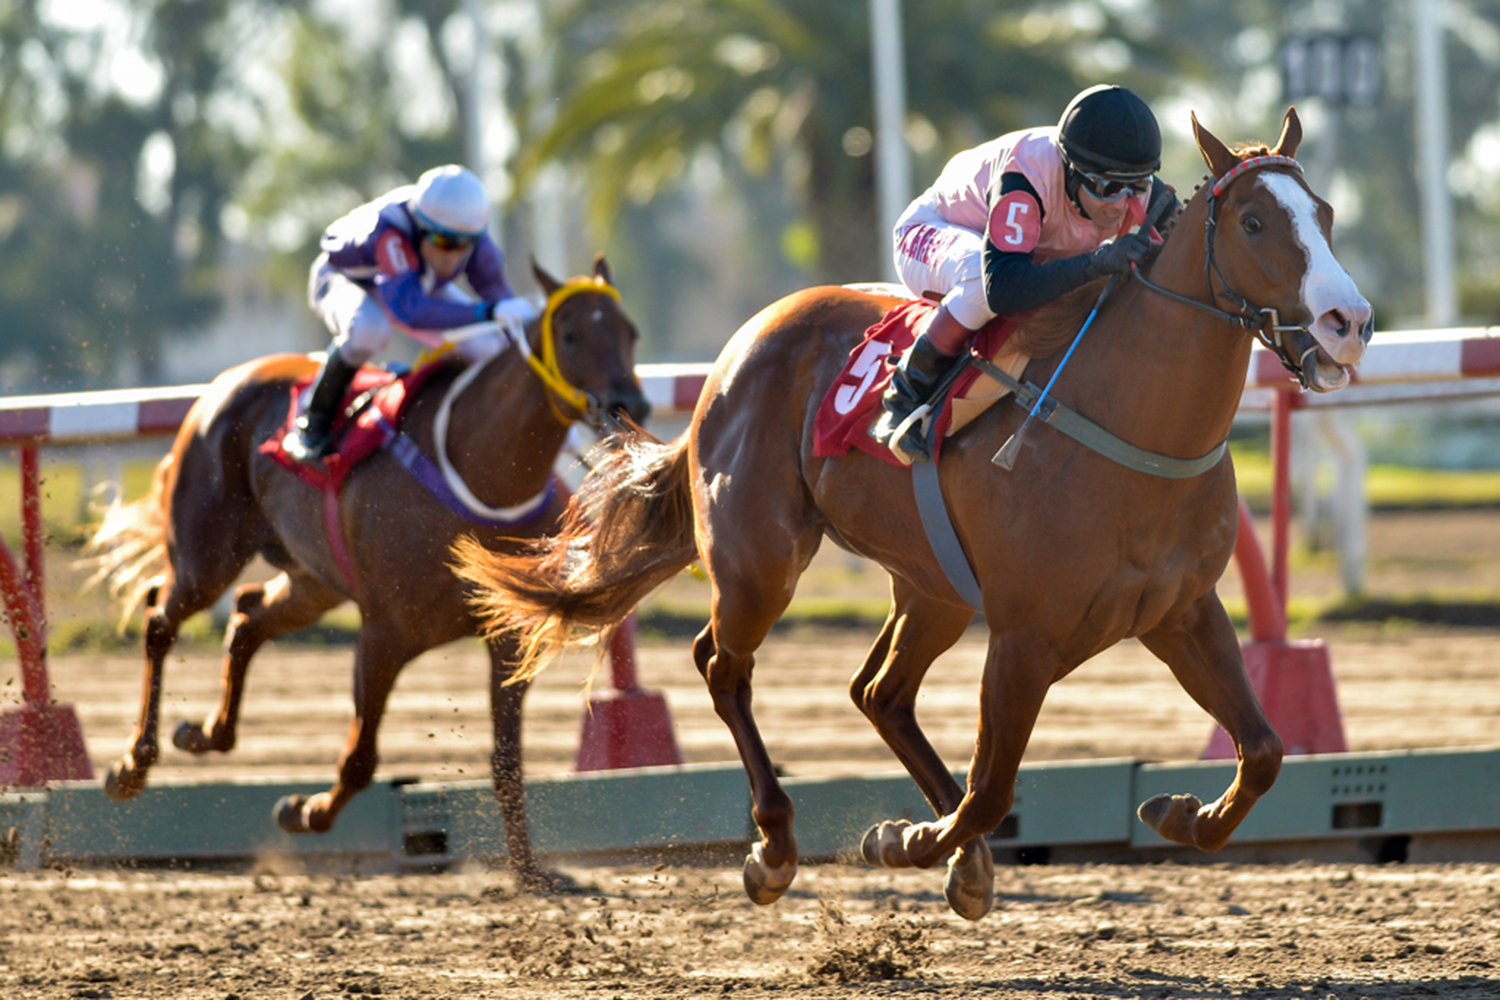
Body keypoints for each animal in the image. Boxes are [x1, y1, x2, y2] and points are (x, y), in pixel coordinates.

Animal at [85, 256, 648, 889]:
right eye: (571, 334)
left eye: (629, 332)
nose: (628, 404)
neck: (479, 473)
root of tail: (226, 383)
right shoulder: (384, 632)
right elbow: (360, 758)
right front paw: (305, 811)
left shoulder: (507, 637)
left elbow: (506, 760)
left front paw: (531, 873)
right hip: (207, 555)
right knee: (161, 618)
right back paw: (132, 765)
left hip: (313, 579)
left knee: (247, 615)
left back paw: (205, 733)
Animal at [454, 110, 1372, 917]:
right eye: (1253, 221)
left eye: (1325, 214)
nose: (1349, 323)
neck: (1131, 428)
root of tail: (734, 351)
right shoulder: (1025, 638)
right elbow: (992, 789)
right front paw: (905, 840)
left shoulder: (1181, 611)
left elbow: (1265, 750)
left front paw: (1180, 813)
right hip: (761, 559)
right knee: (724, 664)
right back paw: (777, 848)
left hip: (933, 588)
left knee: (878, 691)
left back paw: (956, 860)